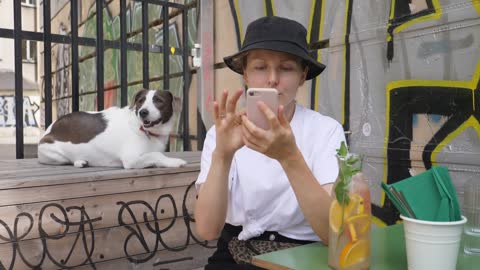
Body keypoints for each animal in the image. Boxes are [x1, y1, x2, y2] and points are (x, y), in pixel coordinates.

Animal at [37, 88, 188, 169]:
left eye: (159, 101)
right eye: (141, 101)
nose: (143, 112)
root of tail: (50, 128)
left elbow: (155, 154)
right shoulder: (130, 159)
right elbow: (155, 154)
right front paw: (174, 161)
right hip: (53, 153)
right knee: (66, 160)